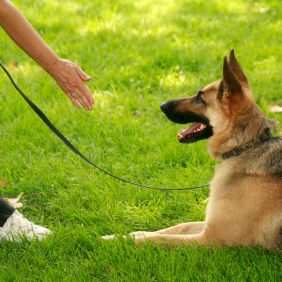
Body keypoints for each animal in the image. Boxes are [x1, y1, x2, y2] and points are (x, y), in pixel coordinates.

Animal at [104, 50, 282, 249]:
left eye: (200, 99)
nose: (162, 105)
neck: (245, 147)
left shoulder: (210, 239)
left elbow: (160, 238)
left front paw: (121, 240)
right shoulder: (208, 225)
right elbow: (178, 226)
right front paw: (123, 235)